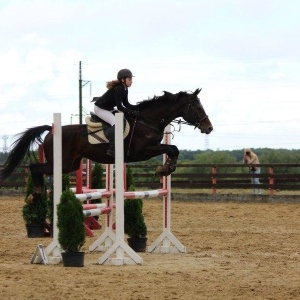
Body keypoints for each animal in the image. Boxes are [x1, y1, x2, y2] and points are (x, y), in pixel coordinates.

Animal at [0, 88, 212, 193]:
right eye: (197, 107)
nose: (209, 128)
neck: (148, 120)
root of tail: (51, 130)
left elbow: (173, 148)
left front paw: (167, 168)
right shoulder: (142, 151)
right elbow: (171, 148)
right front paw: (164, 169)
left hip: (70, 164)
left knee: (38, 169)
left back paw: (38, 192)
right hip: (62, 163)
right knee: (35, 168)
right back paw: (37, 191)